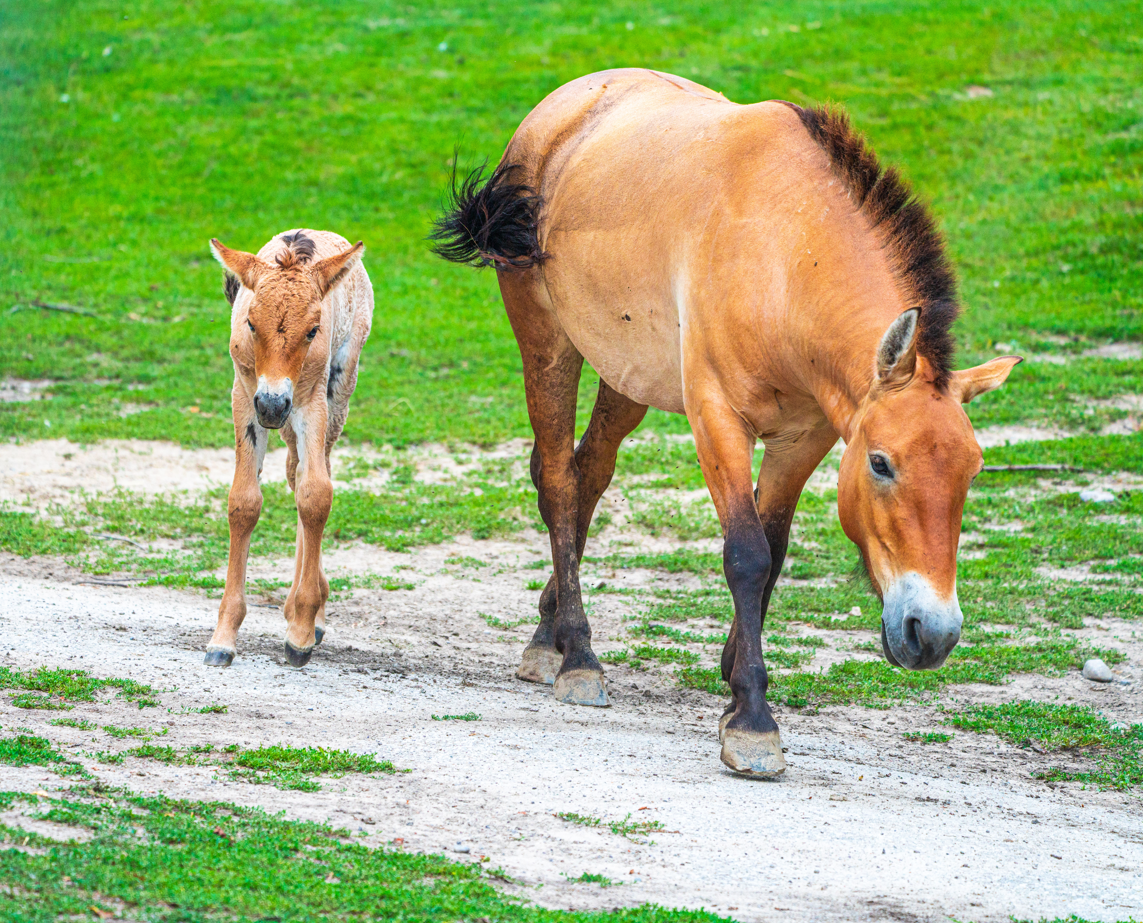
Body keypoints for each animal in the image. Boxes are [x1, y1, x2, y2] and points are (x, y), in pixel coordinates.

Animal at [204, 230, 372, 668]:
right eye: (250, 323)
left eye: (313, 330)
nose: (273, 404)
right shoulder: (244, 398)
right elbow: (244, 502)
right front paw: (223, 639)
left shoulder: (310, 402)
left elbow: (316, 496)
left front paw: (300, 632)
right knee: (295, 471)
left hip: (337, 391)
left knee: (313, 473)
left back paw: (309, 613)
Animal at [432, 69, 1020, 778]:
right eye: (881, 463)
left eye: (973, 472)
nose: (932, 635)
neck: (786, 251)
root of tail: (559, 109)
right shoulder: (716, 418)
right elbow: (746, 555)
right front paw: (753, 724)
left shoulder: (804, 438)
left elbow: (775, 553)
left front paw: (734, 682)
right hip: (548, 343)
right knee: (556, 480)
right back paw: (577, 656)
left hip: (627, 376)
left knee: (588, 477)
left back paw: (549, 636)